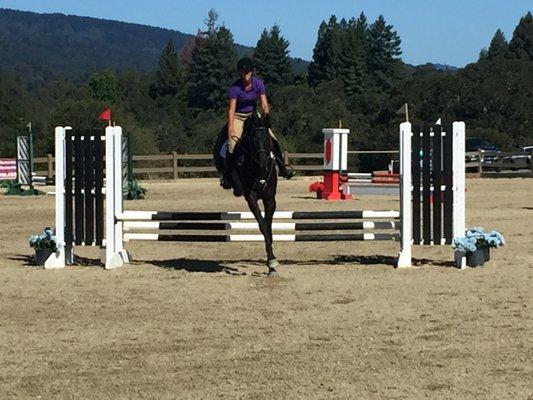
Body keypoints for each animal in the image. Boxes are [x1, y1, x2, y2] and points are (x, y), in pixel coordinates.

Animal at [212, 112, 278, 276]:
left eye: (269, 140)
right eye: (253, 140)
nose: (263, 164)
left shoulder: (270, 198)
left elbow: (268, 225)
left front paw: (271, 263)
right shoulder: (251, 198)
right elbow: (262, 225)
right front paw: (271, 261)